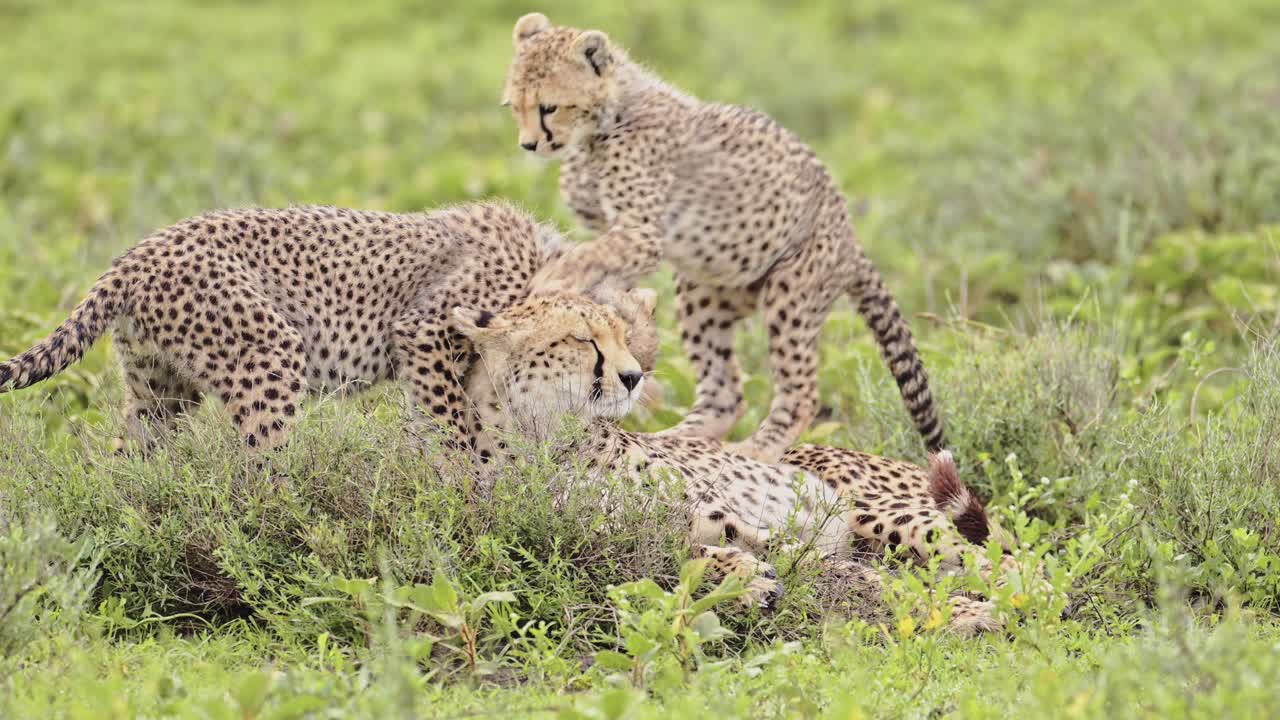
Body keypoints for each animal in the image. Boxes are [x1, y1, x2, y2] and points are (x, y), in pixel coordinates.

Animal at [0, 201, 592, 457]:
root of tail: (134, 255)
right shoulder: (423, 333)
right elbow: (455, 428)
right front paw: (475, 488)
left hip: (160, 387)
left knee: (133, 452)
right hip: (267, 352)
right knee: (263, 463)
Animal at [455, 291, 1020, 634]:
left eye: (622, 336)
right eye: (580, 339)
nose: (634, 376)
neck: (553, 439)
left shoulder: (743, 523)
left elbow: (866, 579)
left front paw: (963, 612)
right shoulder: (610, 541)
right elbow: (686, 556)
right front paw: (747, 580)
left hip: (883, 513)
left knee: (1014, 564)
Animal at [502, 12, 946, 464]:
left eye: (549, 107)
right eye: (514, 107)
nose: (529, 144)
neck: (608, 119)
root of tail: (853, 243)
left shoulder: (642, 234)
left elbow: (586, 256)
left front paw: (550, 281)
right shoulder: (610, 225)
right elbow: (596, 255)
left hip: (792, 293)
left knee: (800, 392)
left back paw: (757, 448)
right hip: (704, 292)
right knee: (727, 394)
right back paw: (679, 437)